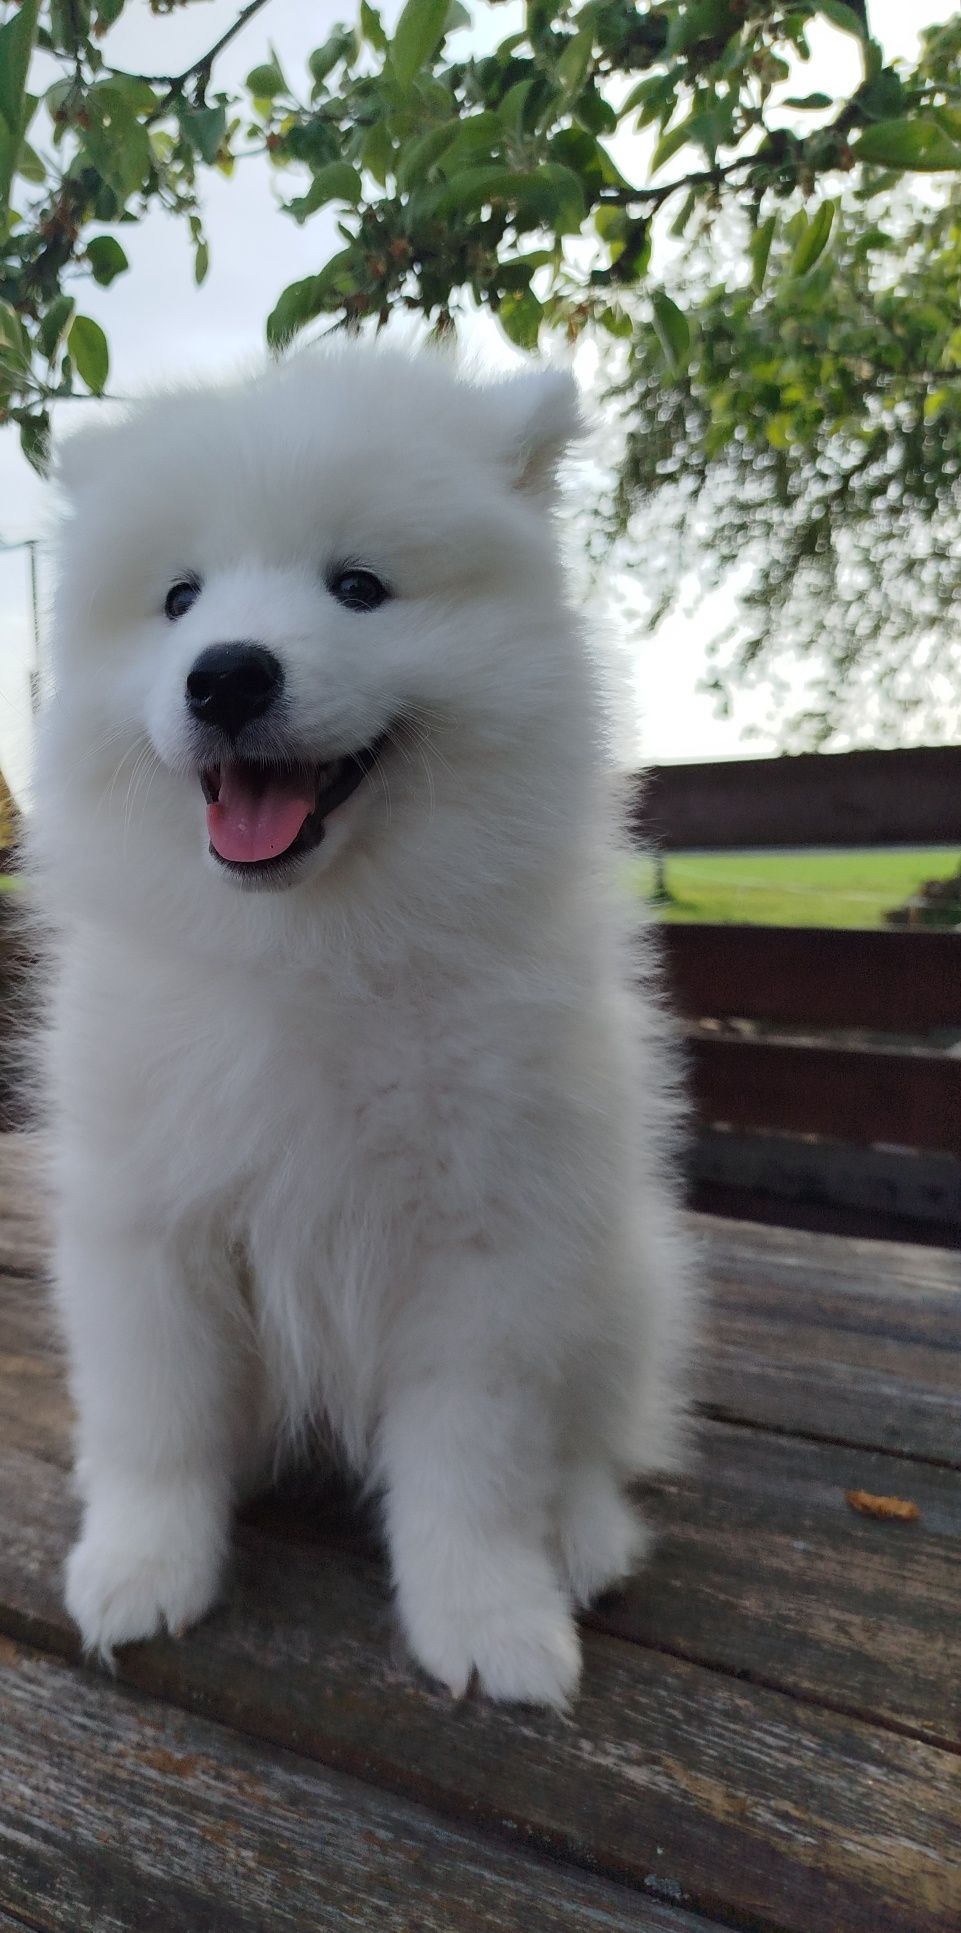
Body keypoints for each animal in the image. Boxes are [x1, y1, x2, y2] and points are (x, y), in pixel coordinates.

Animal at [29, 347, 692, 1708]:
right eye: (177, 599)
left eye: (359, 588)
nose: (227, 672)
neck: (308, 946)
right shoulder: (148, 1223)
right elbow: (159, 1420)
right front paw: (138, 1568)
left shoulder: (489, 1250)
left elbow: (474, 1467)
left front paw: (492, 1623)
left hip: (624, 1278)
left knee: (596, 1438)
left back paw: (583, 1537)